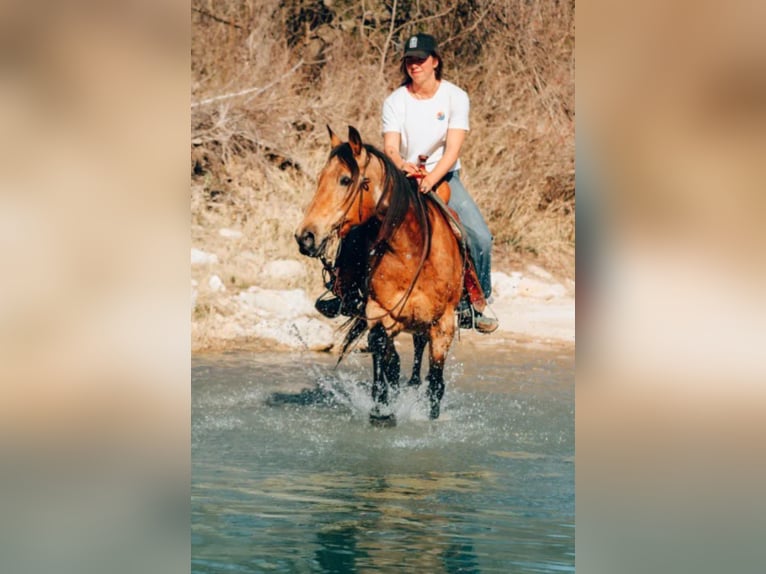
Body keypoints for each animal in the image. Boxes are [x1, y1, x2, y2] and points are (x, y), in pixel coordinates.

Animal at [298, 128, 468, 426]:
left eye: (345, 180)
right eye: (320, 179)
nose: (305, 237)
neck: (411, 252)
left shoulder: (444, 324)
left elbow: (436, 383)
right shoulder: (379, 311)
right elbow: (382, 351)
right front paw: (382, 409)